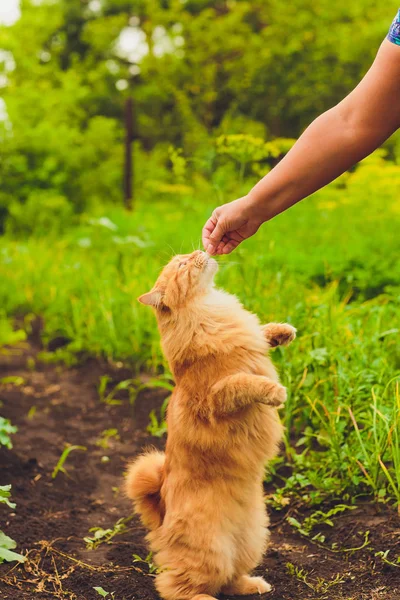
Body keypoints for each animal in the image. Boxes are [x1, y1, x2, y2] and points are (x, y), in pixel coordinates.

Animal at [124, 250, 294, 600]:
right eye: (181, 265)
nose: (200, 251)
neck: (208, 307)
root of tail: (160, 510)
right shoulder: (215, 398)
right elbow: (245, 382)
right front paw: (274, 391)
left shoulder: (248, 337)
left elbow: (261, 333)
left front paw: (283, 332)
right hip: (210, 551)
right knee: (177, 586)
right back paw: (205, 597)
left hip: (250, 541)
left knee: (229, 579)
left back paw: (254, 584)